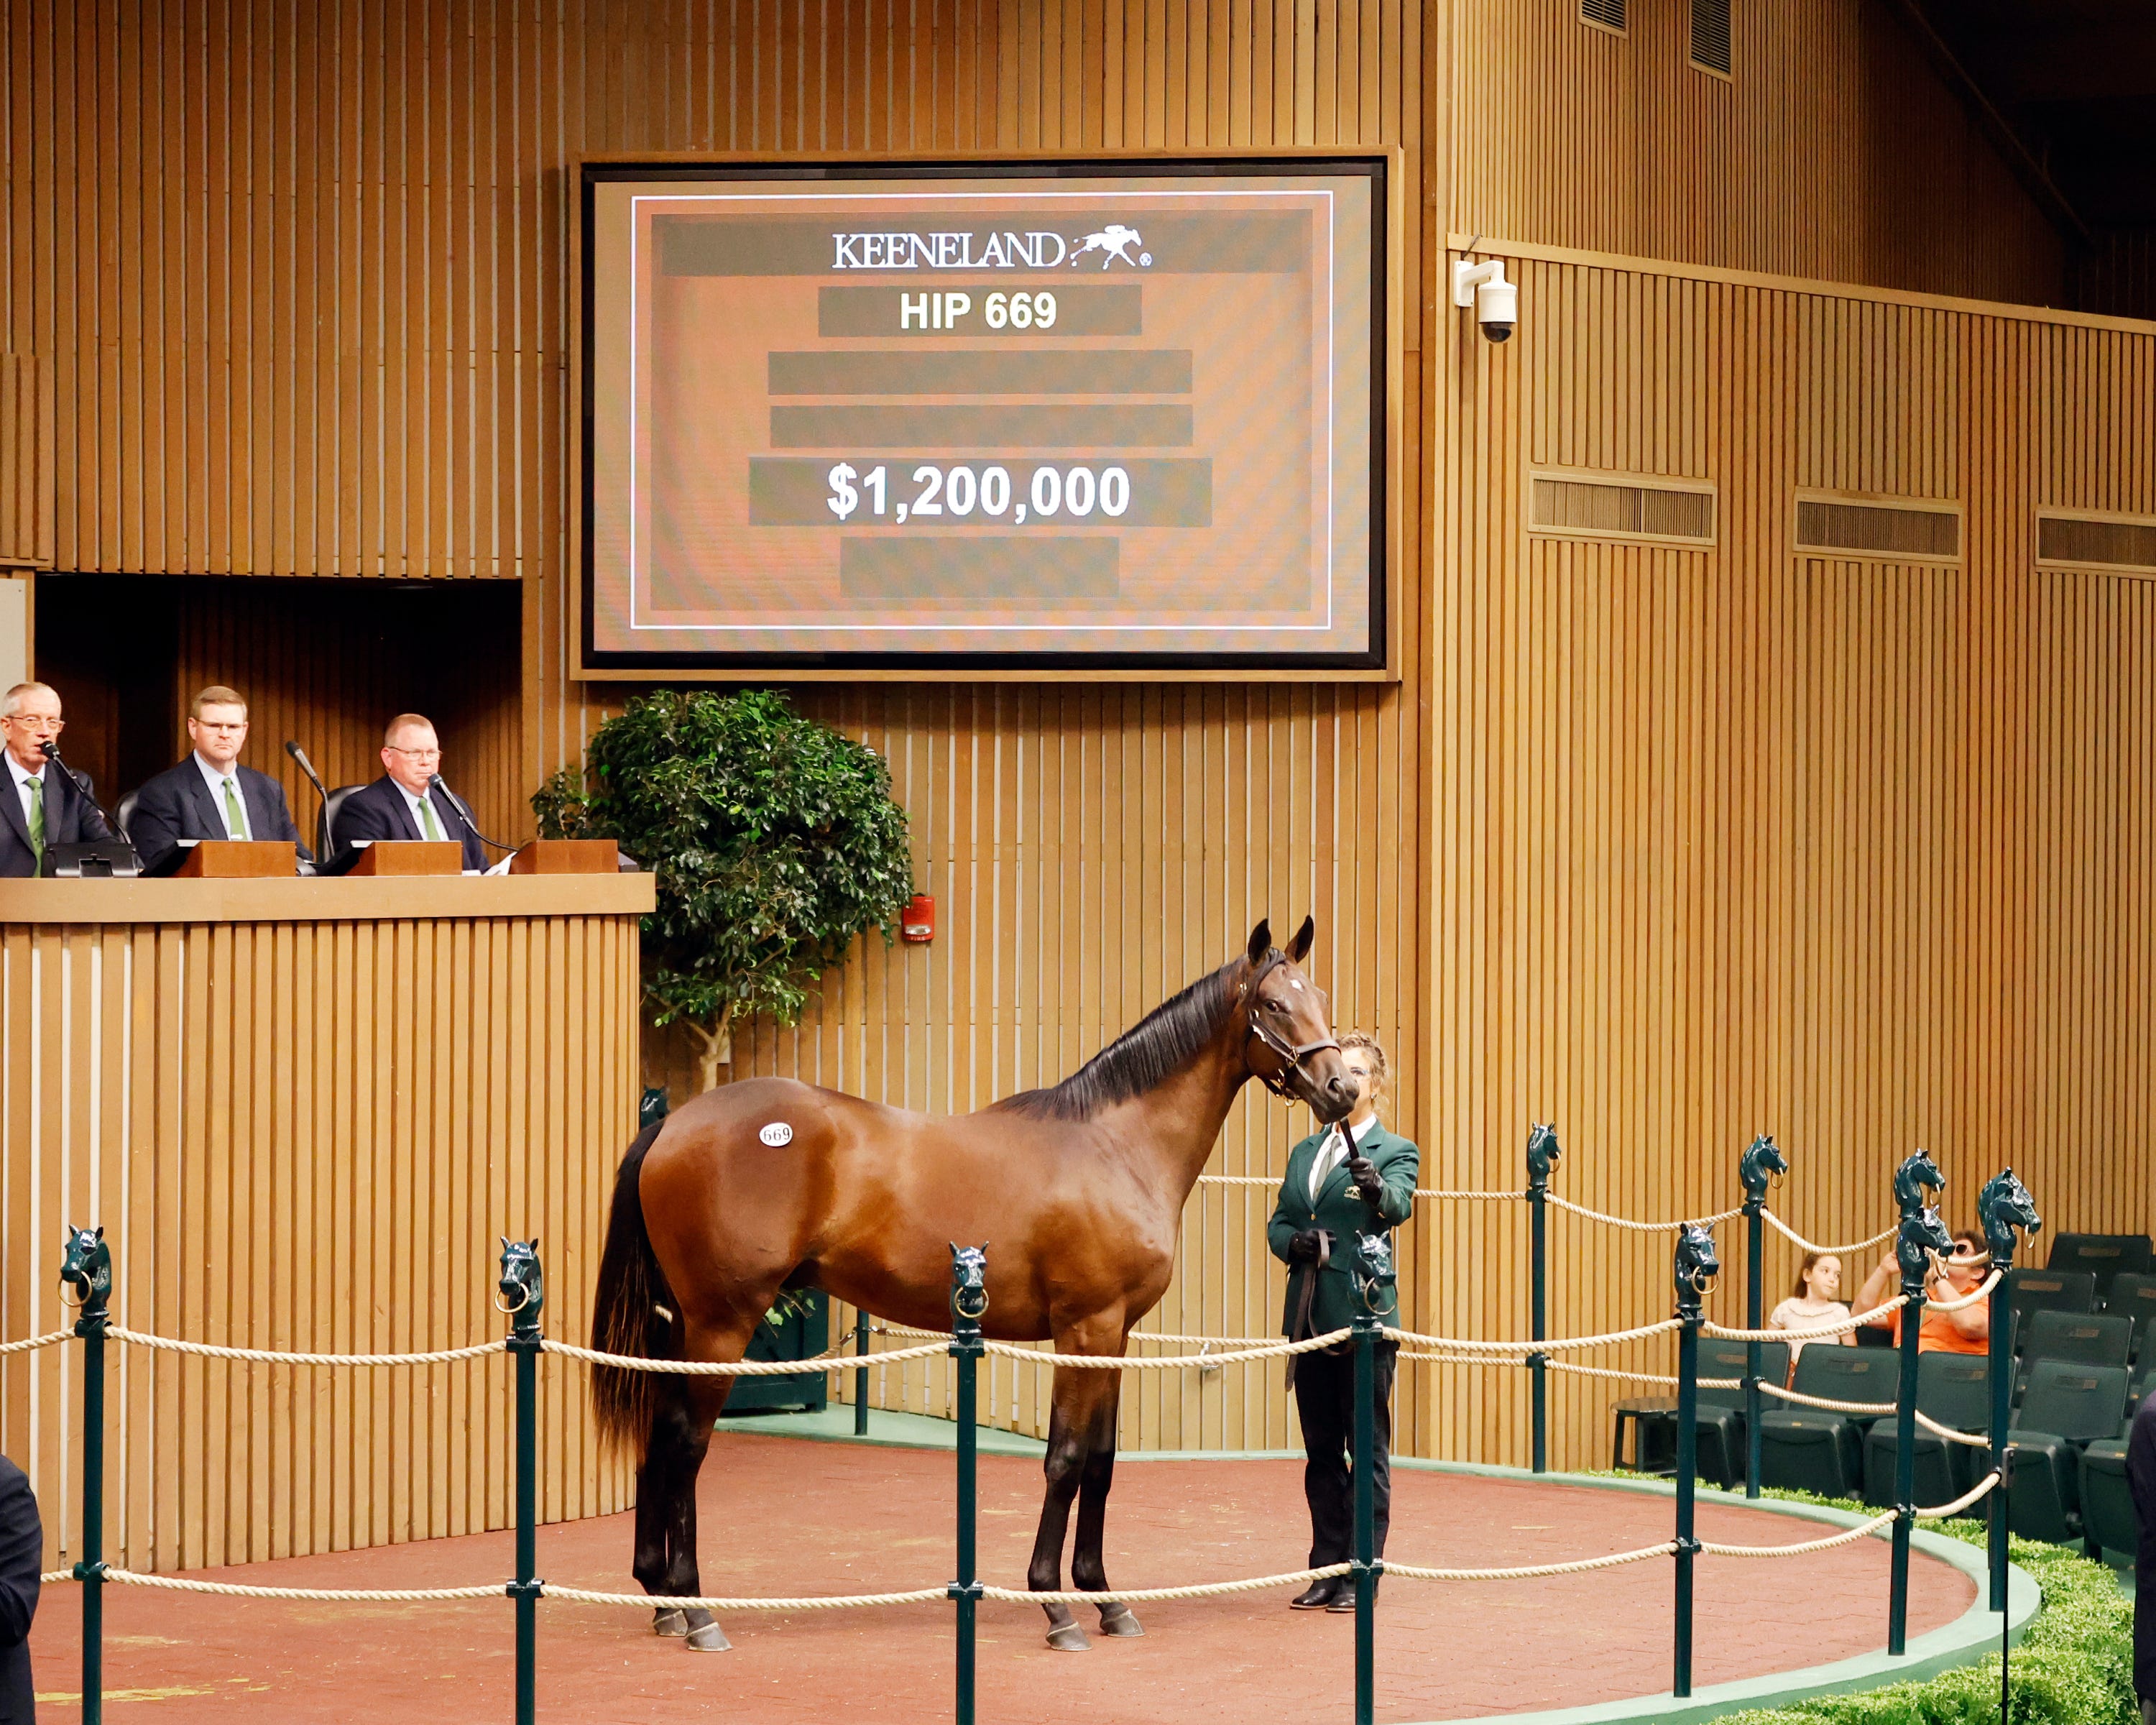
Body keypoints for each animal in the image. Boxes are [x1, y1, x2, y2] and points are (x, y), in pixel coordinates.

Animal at [586, 914, 1363, 1656]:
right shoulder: (1086, 1328)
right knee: (687, 1445)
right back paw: (696, 1609)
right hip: (722, 1322)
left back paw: (660, 1599)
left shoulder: (1116, 1335)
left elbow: (1102, 1463)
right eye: (1272, 1004)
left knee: (659, 1434)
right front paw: (1056, 1605)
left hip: (682, 1325)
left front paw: (1106, 1599)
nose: (1342, 1089)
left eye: (1323, 999)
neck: (1115, 1144)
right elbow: (1065, 1461)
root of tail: (671, 1125)